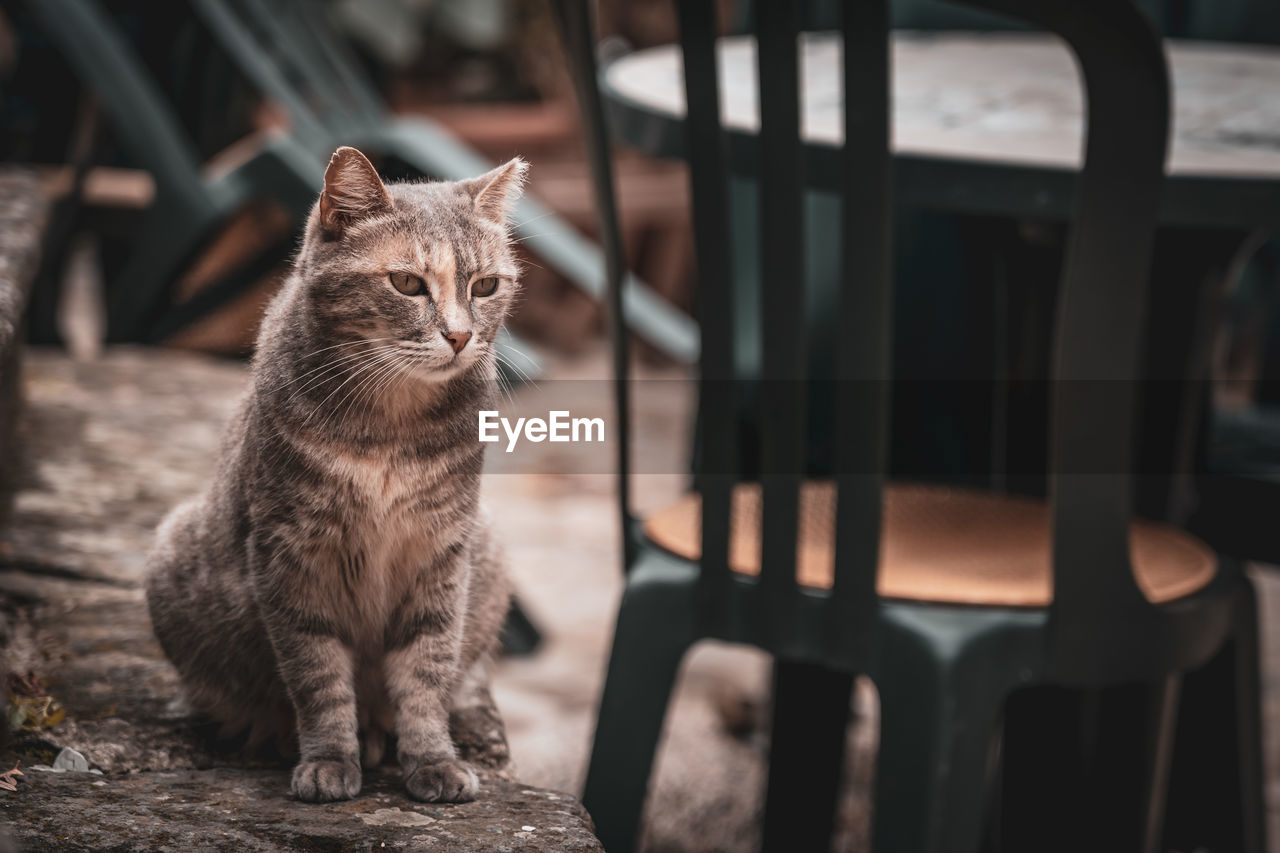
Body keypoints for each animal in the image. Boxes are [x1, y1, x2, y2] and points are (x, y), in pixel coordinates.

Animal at [141, 146, 519, 804]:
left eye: (486, 285)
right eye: (407, 283)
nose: (459, 335)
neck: (392, 424)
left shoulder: (441, 555)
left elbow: (427, 672)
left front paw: (433, 760)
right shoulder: (291, 559)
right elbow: (317, 678)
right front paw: (329, 760)